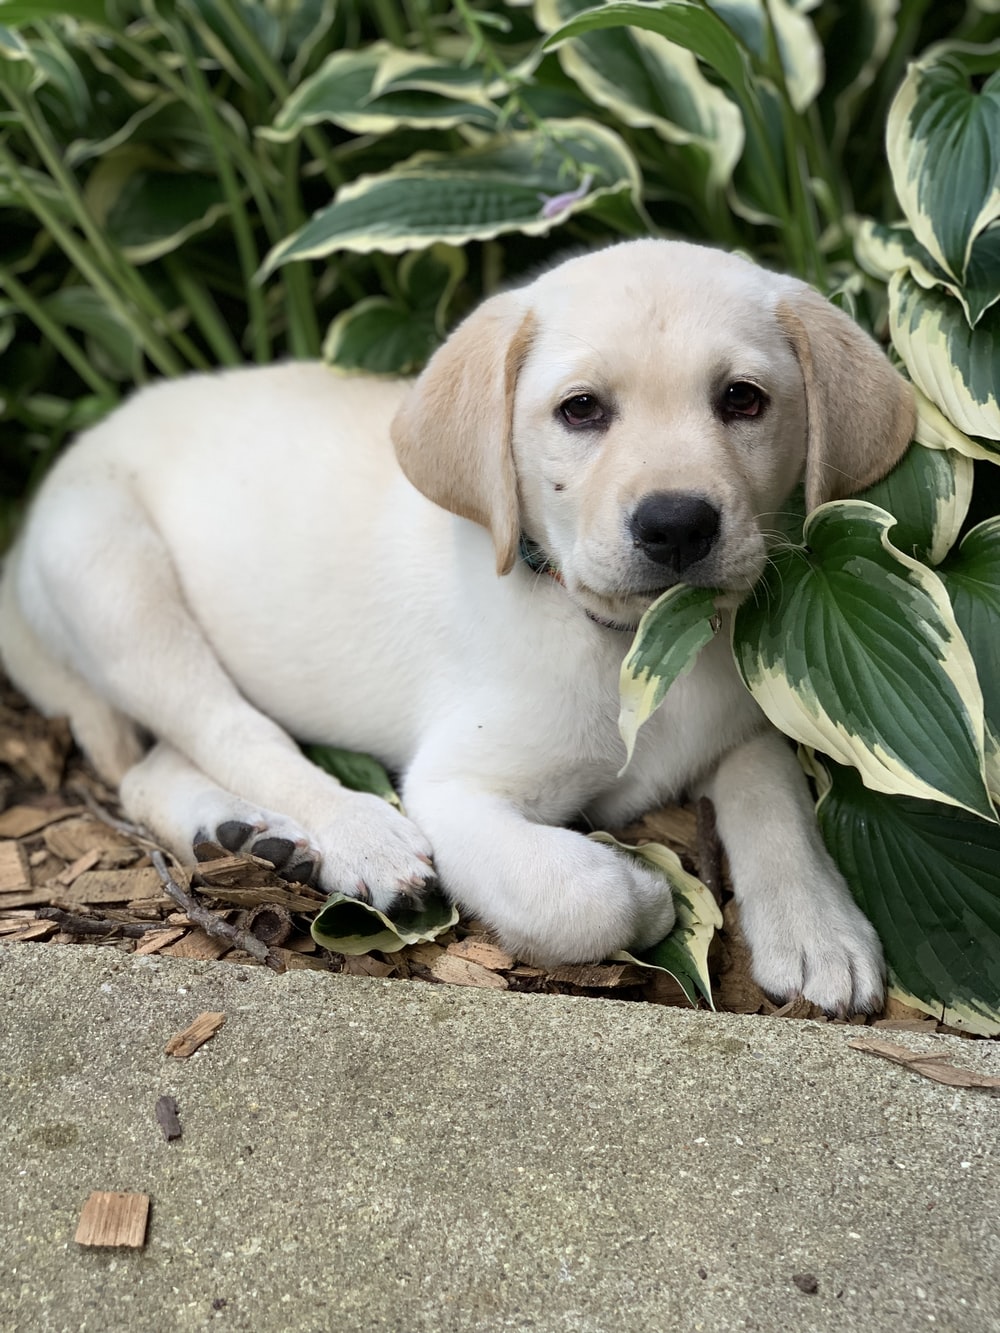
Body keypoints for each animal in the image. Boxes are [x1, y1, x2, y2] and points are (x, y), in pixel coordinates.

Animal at [0, 239, 917, 1007]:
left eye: (743, 400)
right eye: (581, 410)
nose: (677, 525)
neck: (628, 647)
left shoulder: (746, 724)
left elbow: (779, 802)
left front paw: (818, 928)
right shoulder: (455, 791)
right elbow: (578, 896)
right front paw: (646, 889)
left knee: (154, 764)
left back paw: (241, 832)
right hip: (112, 571)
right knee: (221, 728)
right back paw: (352, 835)